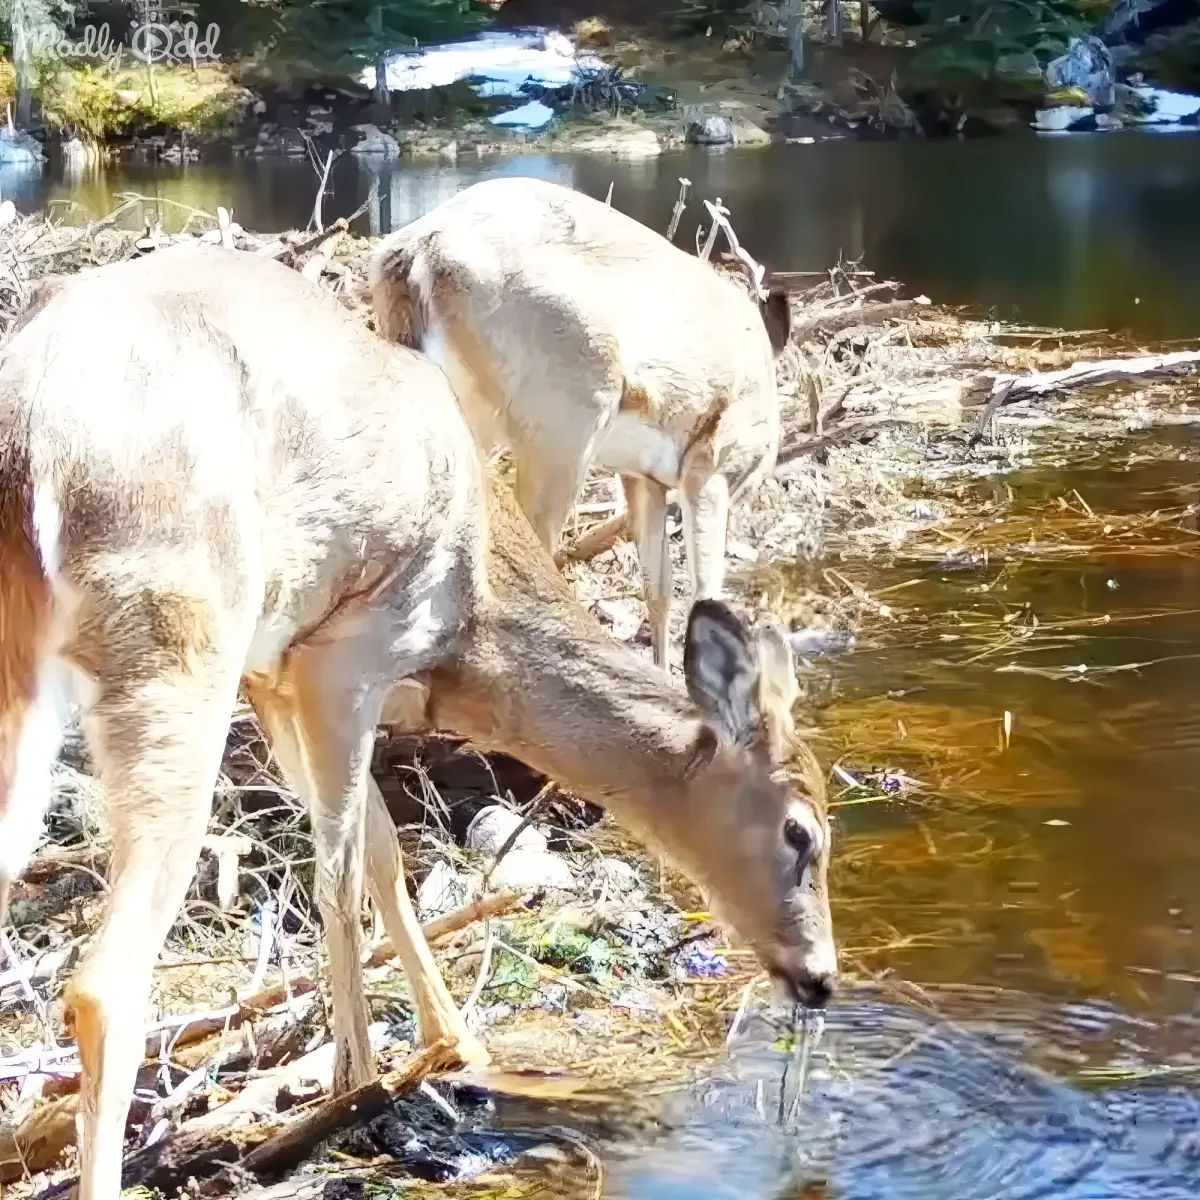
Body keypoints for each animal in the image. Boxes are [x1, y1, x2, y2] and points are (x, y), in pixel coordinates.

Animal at [0, 243, 834, 1200]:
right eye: (803, 834)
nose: (822, 978)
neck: (474, 619)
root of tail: (32, 438)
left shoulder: (275, 674)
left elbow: (381, 851)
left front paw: (454, 1044)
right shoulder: (343, 655)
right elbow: (340, 871)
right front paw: (355, 1085)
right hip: (176, 640)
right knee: (106, 980)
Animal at [368, 175, 793, 671]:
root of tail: (420, 248)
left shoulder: (642, 475)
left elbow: (659, 587)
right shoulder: (712, 463)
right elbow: (705, 594)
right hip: (565, 420)